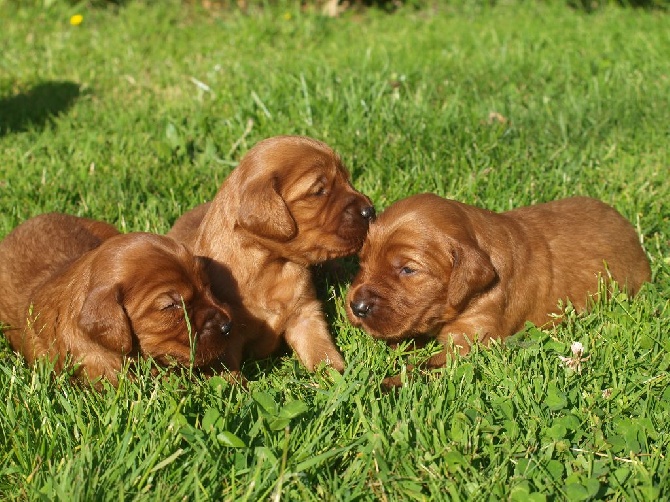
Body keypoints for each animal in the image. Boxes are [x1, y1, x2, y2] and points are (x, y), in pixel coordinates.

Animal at [350, 194, 652, 386]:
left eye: (408, 270)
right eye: (363, 261)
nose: (356, 307)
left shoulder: (471, 340)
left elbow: (425, 366)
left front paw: (385, 384)